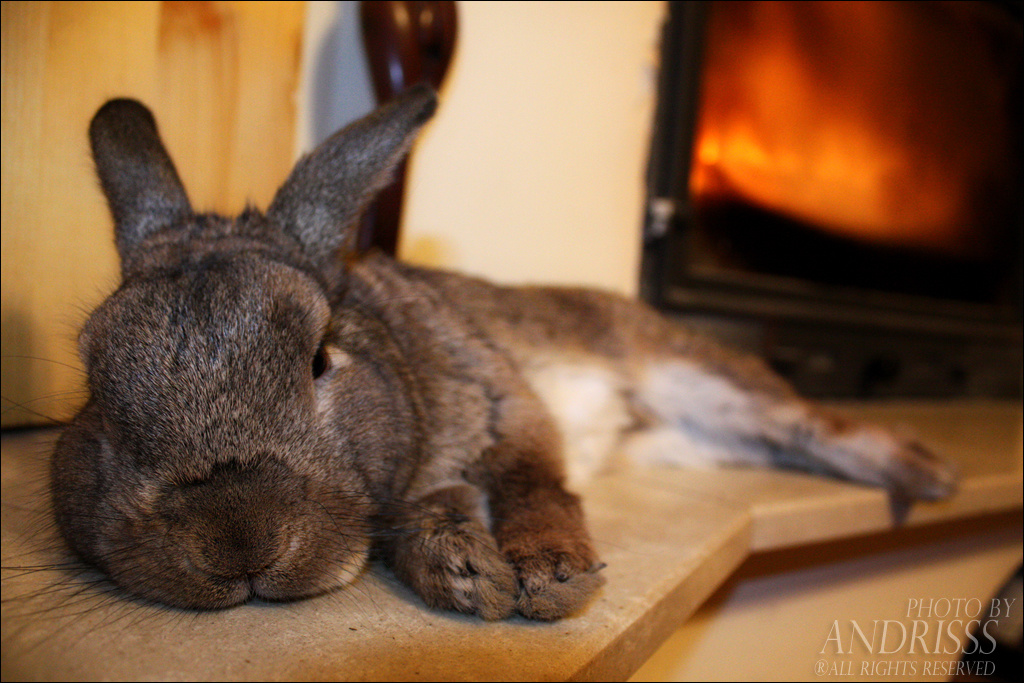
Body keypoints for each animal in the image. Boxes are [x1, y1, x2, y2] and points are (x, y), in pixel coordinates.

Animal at [48, 85, 954, 626]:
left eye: (319, 358)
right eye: (96, 388)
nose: (235, 543)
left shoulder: (506, 399)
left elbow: (534, 481)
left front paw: (553, 575)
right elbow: (429, 512)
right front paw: (466, 572)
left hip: (703, 380)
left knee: (808, 422)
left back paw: (925, 473)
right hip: (698, 440)